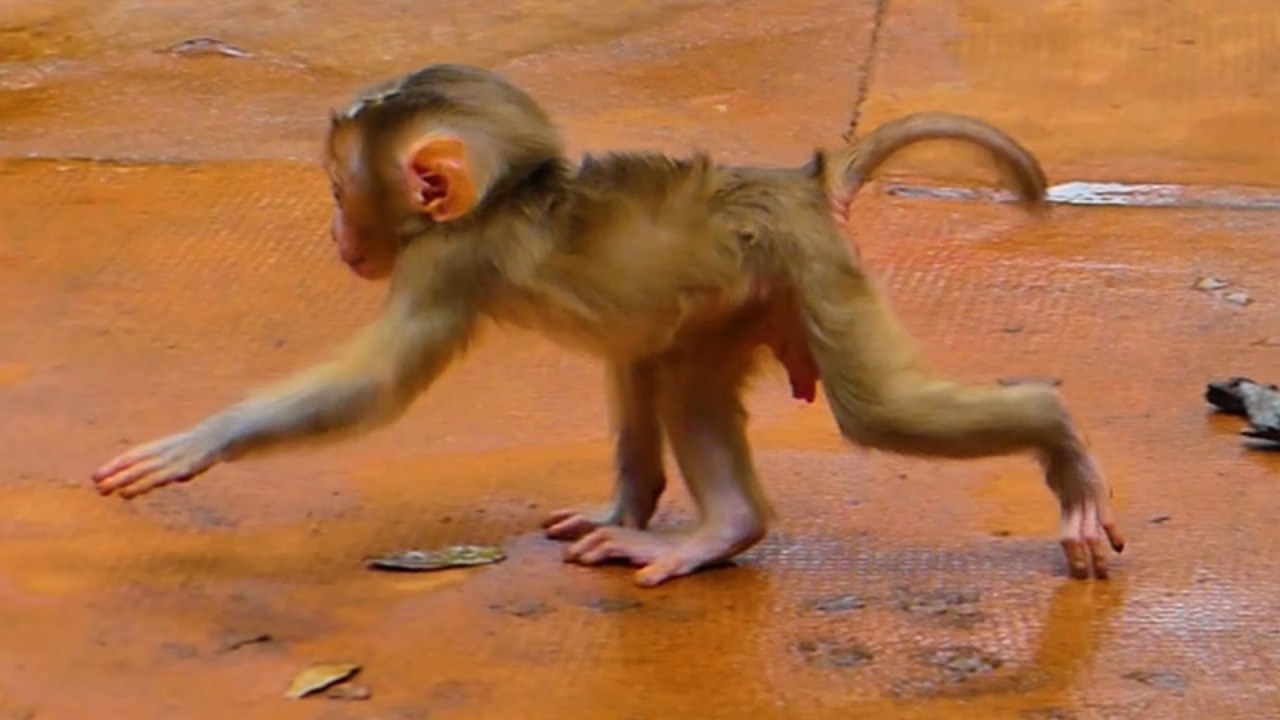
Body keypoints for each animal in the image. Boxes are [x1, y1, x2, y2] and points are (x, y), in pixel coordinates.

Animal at [91, 63, 1124, 587]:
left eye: (342, 191)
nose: (334, 236)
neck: (503, 199)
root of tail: (802, 187)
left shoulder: (447, 261)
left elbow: (373, 387)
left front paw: (200, 442)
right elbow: (632, 359)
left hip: (807, 270)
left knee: (870, 411)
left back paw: (1055, 443)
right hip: (750, 296)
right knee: (665, 363)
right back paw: (685, 520)